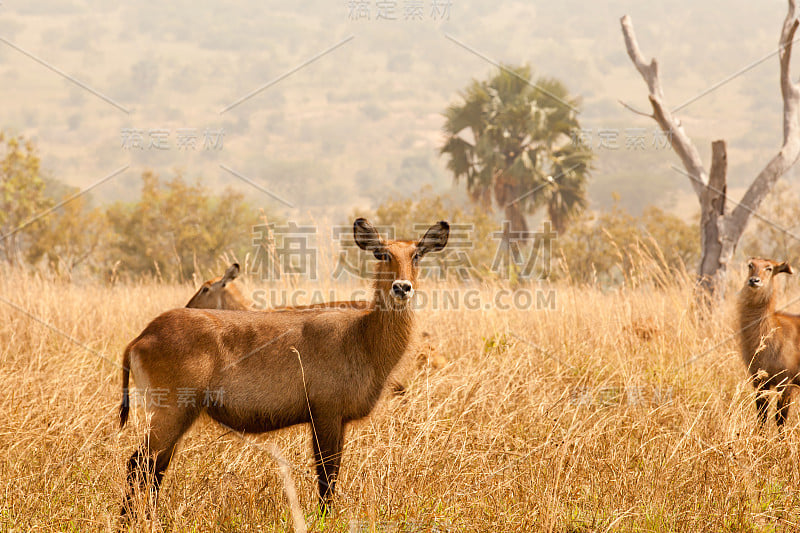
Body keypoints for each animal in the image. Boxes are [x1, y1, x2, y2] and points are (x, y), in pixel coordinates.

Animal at [122, 216, 454, 516]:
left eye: (417, 254)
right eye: (382, 253)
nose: (402, 287)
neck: (362, 335)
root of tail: (143, 336)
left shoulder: (338, 420)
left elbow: (331, 473)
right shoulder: (325, 414)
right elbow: (326, 475)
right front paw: (324, 519)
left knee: (154, 469)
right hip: (172, 411)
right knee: (139, 464)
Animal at [736, 260, 800, 430]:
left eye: (769, 268)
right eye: (751, 265)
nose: (754, 280)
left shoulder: (786, 381)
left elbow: (780, 419)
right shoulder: (759, 380)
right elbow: (762, 417)